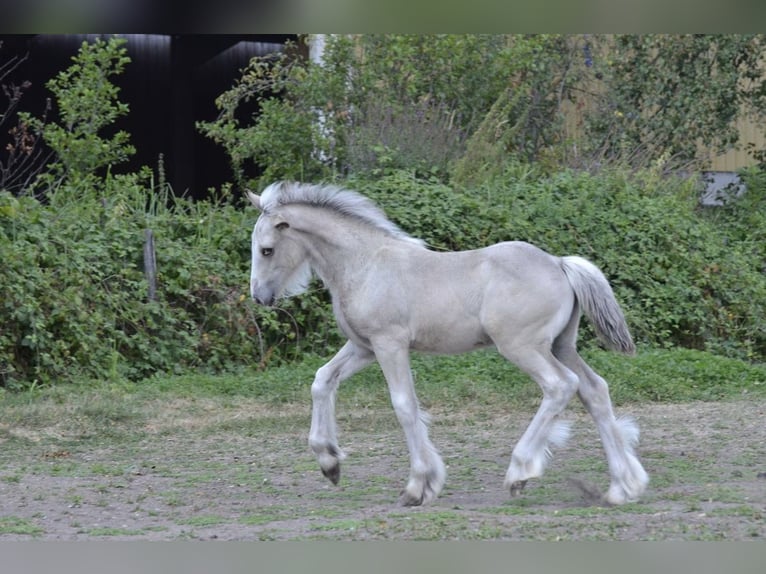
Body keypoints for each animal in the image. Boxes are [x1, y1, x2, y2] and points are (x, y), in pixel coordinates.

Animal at [246, 181, 649, 507]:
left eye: (266, 250)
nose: (259, 297)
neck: (366, 265)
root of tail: (559, 262)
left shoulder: (389, 343)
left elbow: (404, 406)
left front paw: (418, 487)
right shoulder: (362, 347)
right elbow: (321, 380)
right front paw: (329, 462)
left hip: (522, 347)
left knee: (561, 385)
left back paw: (520, 472)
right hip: (561, 346)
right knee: (594, 390)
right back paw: (621, 488)